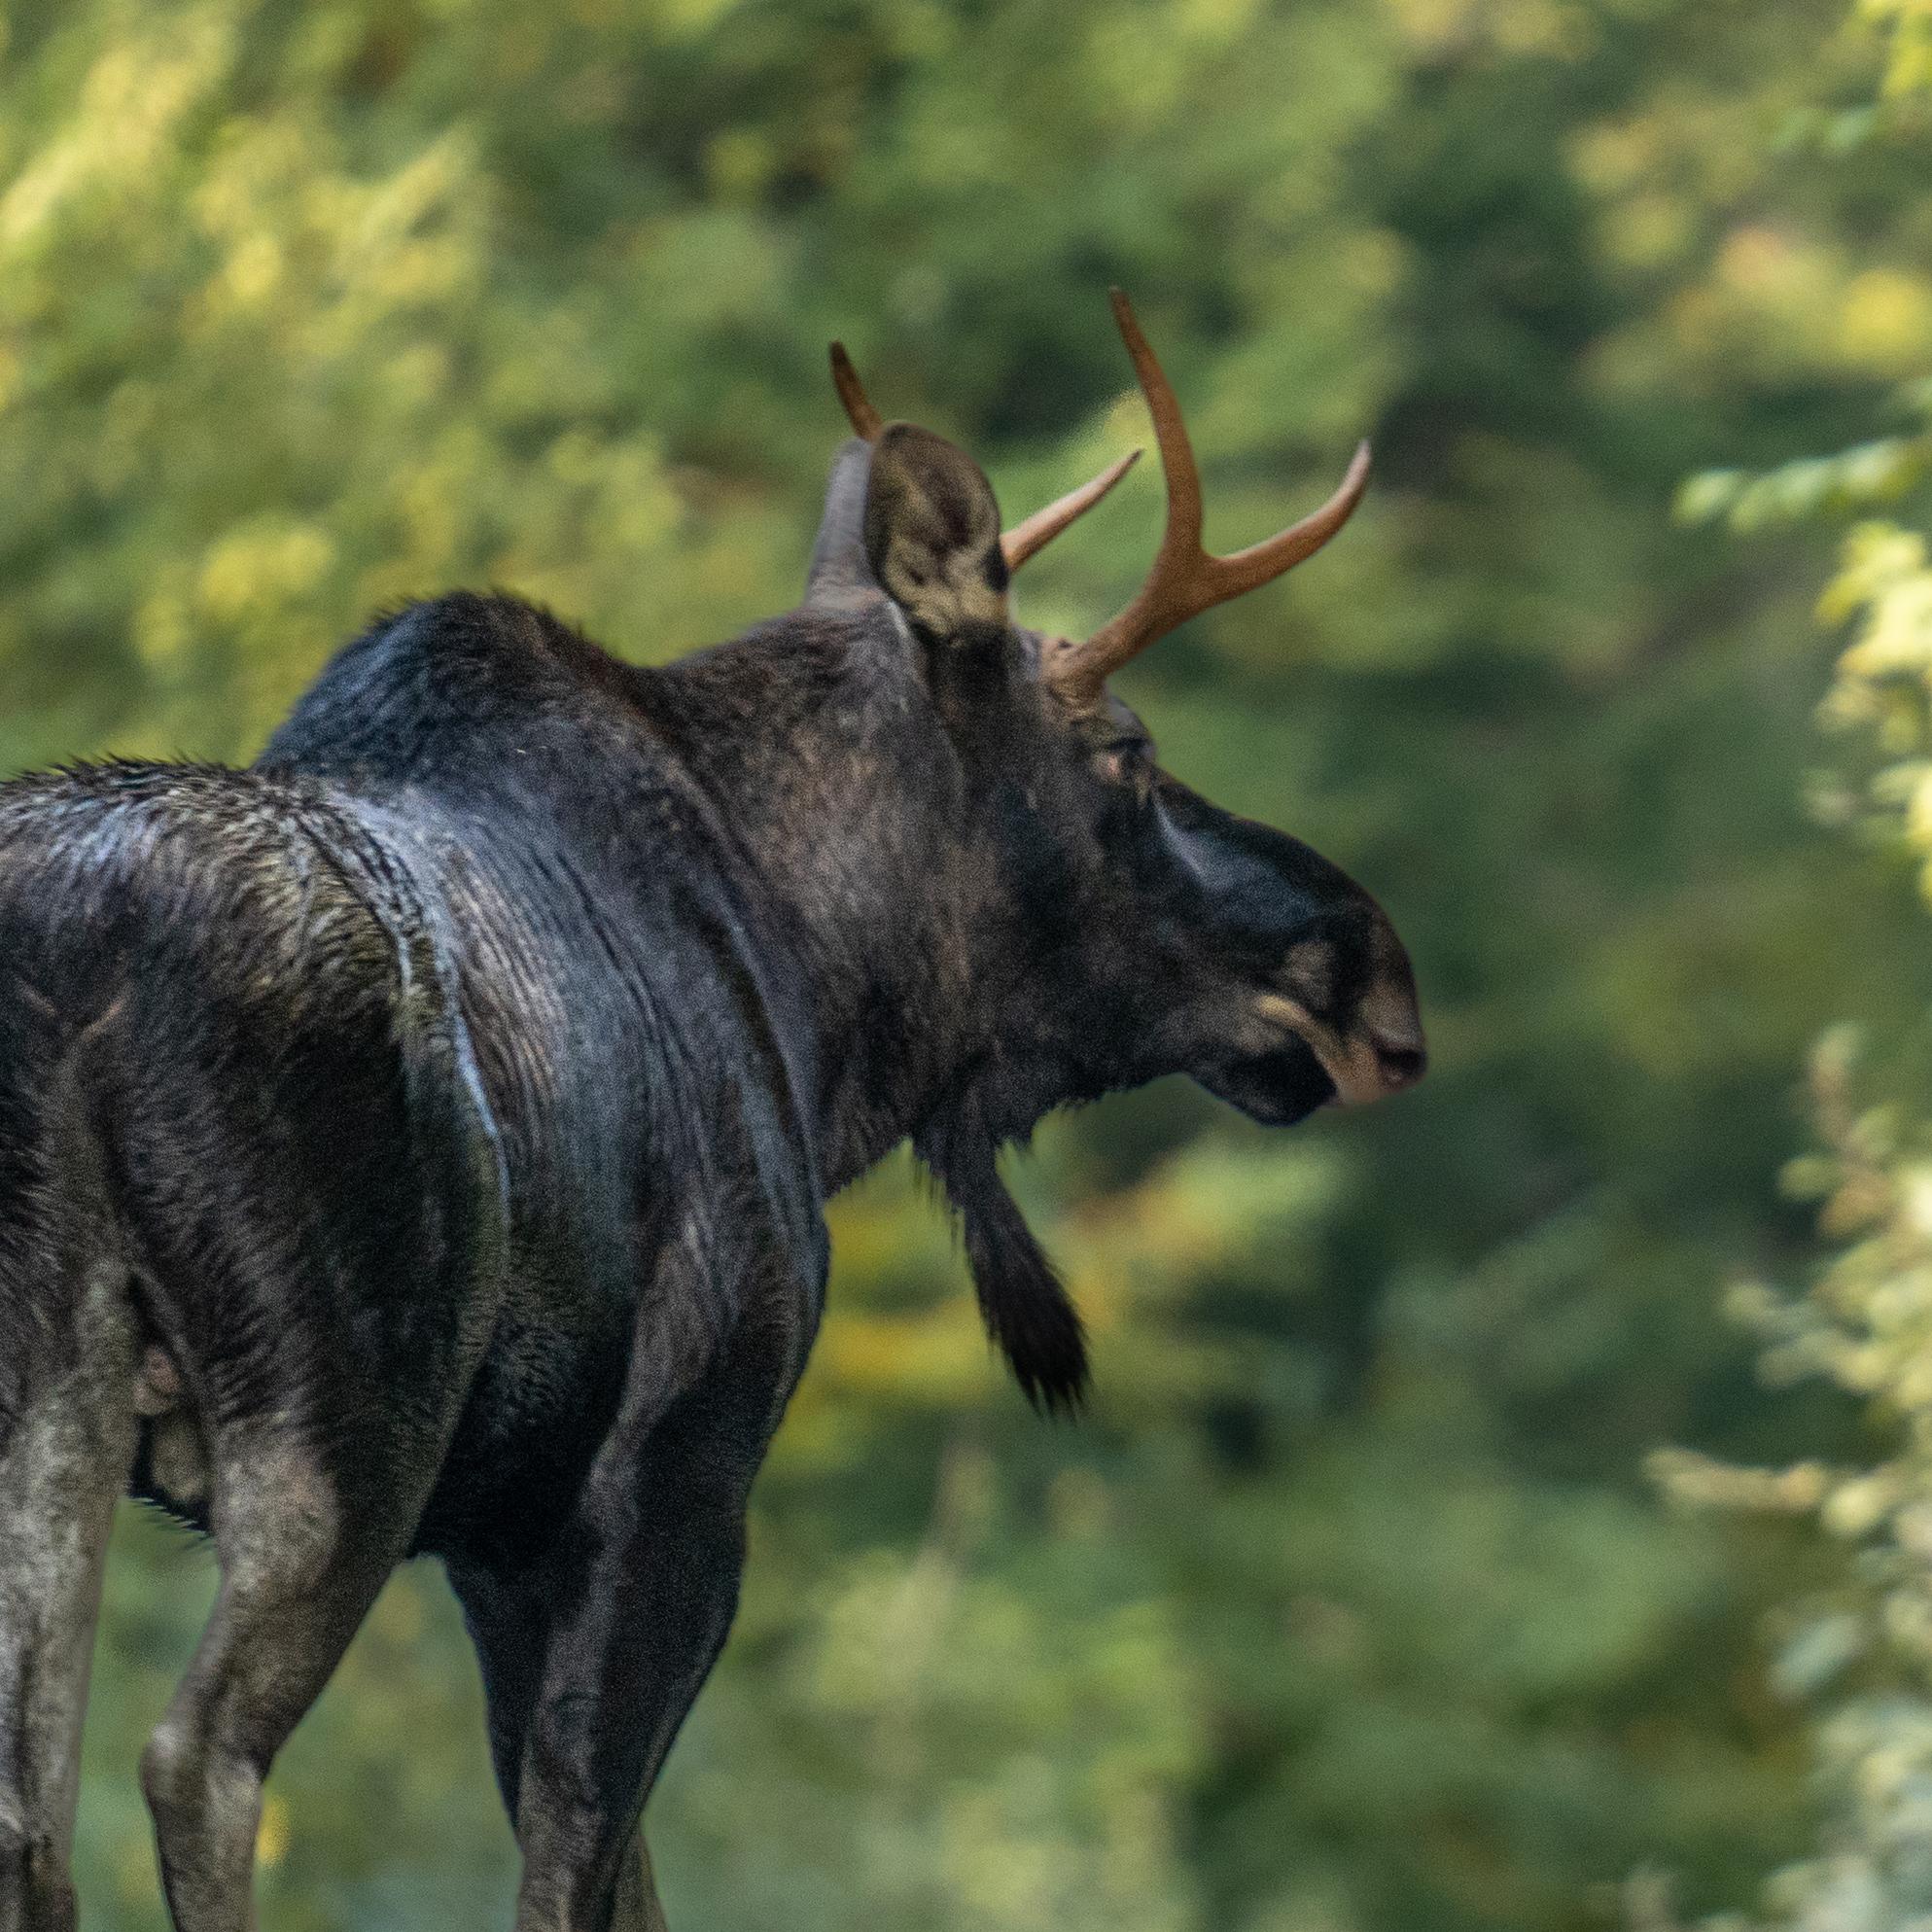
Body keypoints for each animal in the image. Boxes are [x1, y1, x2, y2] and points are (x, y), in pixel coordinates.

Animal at [0, 292, 1423, 1932]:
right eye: (1123, 752)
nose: (1367, 972)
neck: (826, 1011)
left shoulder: (501, 1534)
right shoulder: (674, 1461)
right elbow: (576, 1857)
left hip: (64, 1389)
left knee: (34, 1810)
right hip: (349, 1416)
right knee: (199, 1756)